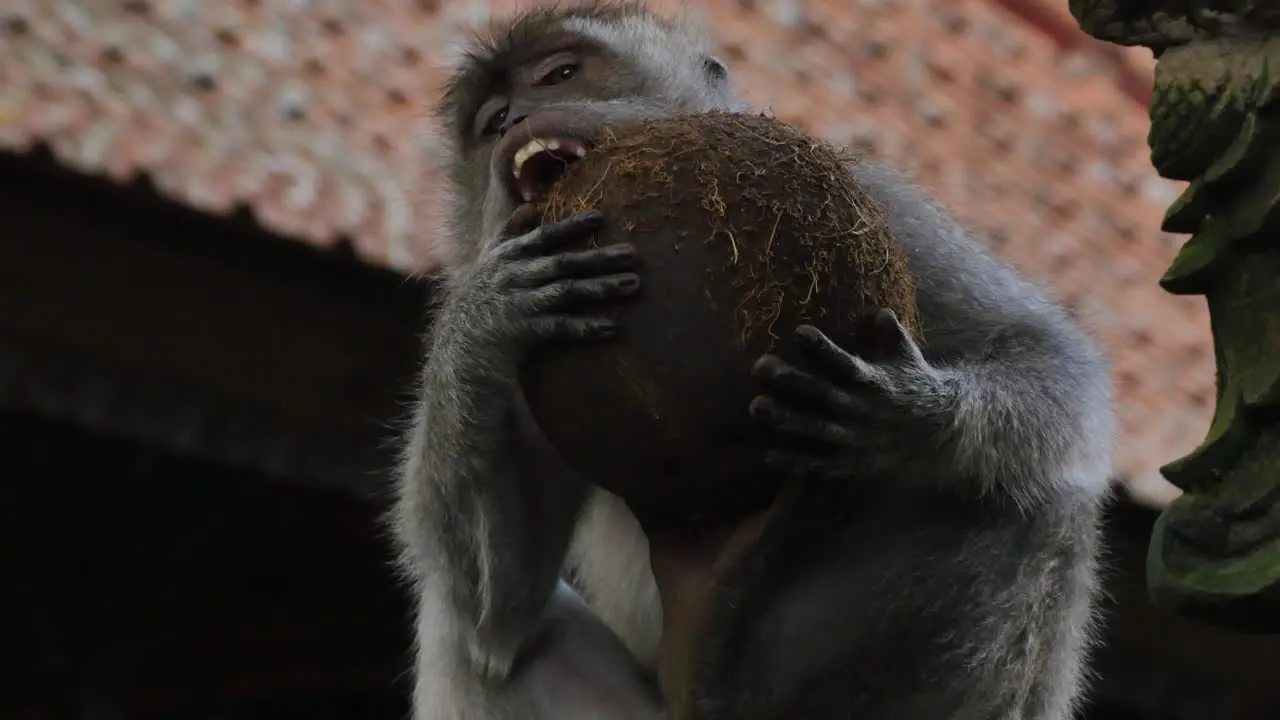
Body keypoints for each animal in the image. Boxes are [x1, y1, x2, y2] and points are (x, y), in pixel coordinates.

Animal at [386, 2, 1111, 712]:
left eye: (560, 74)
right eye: (489, 122)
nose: (512, 118)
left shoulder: (884, 204)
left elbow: (1045, 357)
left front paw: (913, 418)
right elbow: (497, 621)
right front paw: (487, 314)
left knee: (1031, 504)